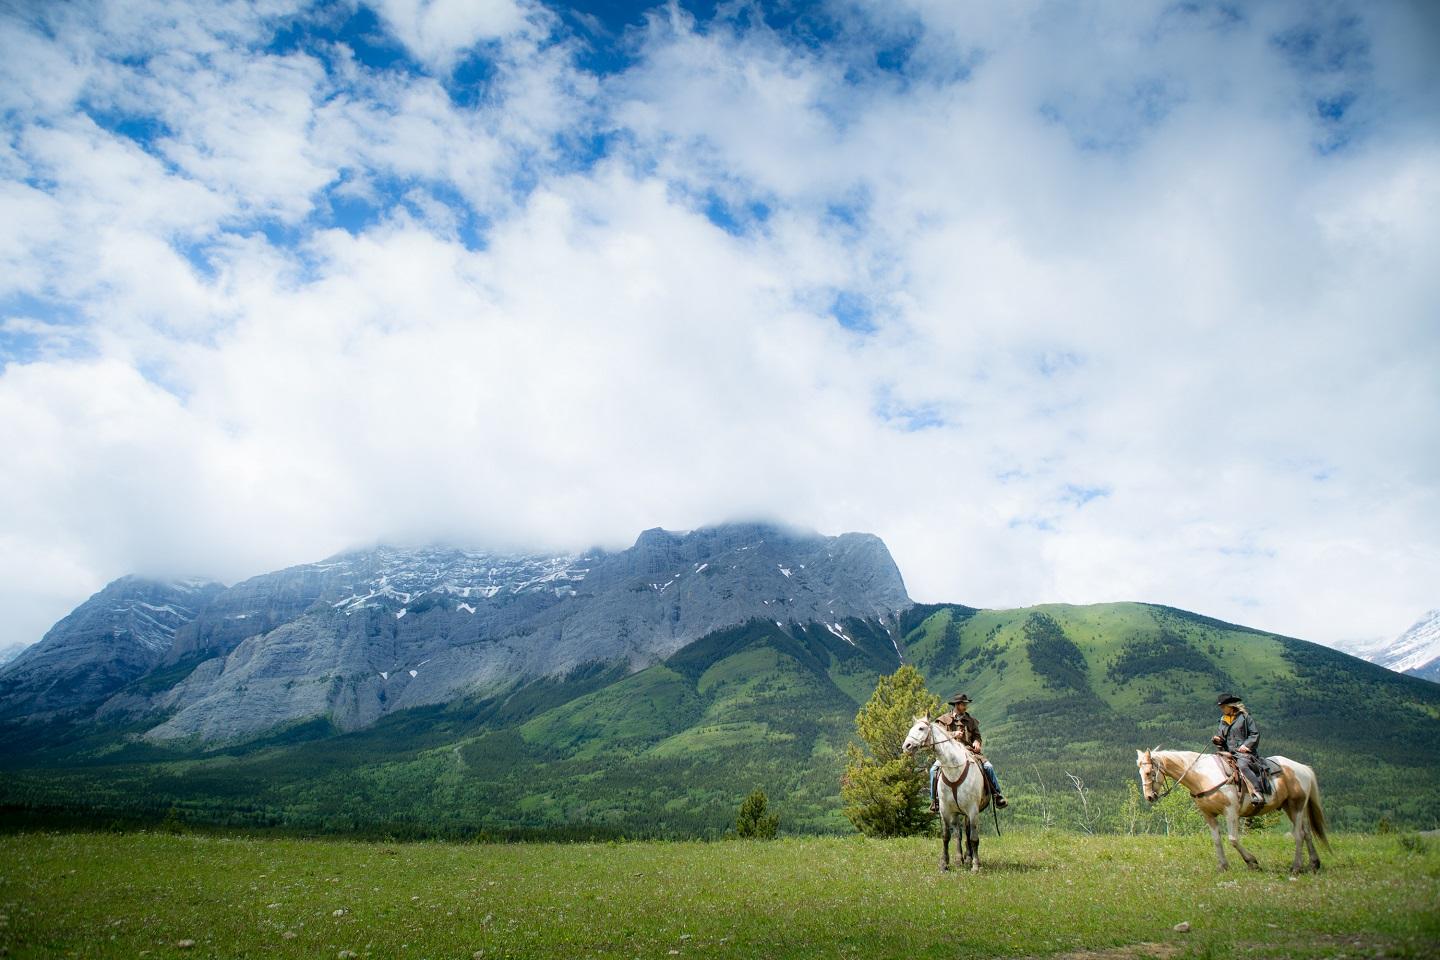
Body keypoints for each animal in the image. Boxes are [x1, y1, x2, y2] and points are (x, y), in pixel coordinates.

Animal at [898, 716, 990, 875]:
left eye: (921, 728)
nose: (906, 746)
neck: (954, 769)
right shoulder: (945, 810)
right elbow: (946, 836)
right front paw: (944, 864)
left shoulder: (972, 810)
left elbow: (974, 838)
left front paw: (975, 865)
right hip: (956, 812)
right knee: (959, 833)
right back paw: (960, 860)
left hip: (968, 813)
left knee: (967, 833)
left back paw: (969, 858)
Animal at [1134, 748, 1324, 880]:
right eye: (1140, 773)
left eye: (1149, 772)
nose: (1149, 797)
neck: (1203, 777)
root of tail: (1303, 768)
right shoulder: (1208, 815)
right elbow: (1217, 840)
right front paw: (1223, 866)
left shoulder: (1231, 812)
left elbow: (1233, 839)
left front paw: (1252, 862)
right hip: (1291, 807)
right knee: (1307, 833)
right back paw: (1314, 864)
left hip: (1296, 805)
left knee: (1299, 834)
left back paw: (1296, 867)